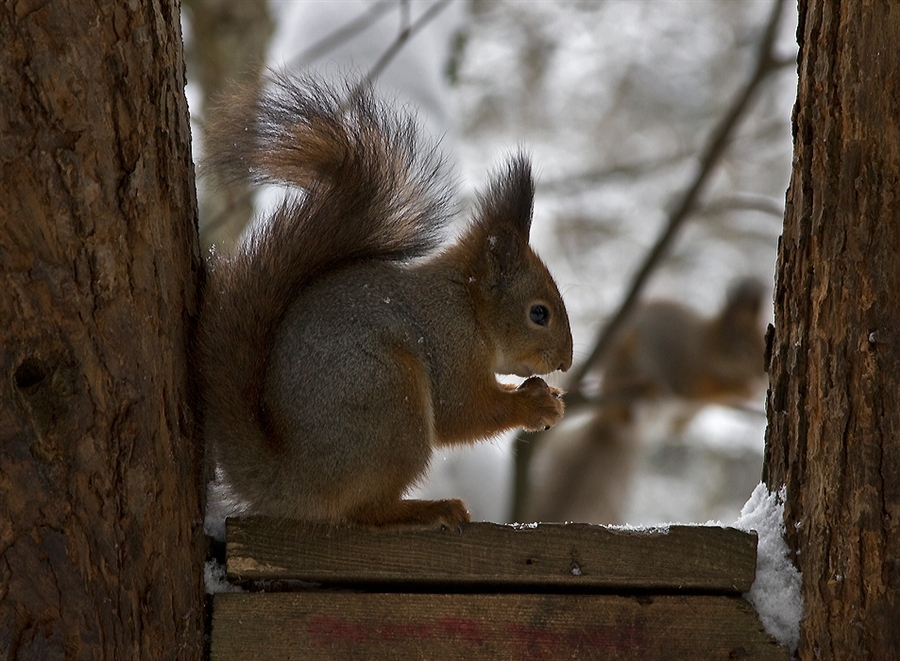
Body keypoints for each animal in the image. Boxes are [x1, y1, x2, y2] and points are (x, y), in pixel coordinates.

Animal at [199, 72, 576, 528]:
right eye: (539, 313)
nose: (566, 362)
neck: (467, 306)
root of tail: (294, 482)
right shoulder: (449, 342)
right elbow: (461, 411)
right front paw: (535, 404)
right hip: (392, 404)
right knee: (366, 510)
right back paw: (431, 509)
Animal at [528, 280, 768, 524]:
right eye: (745, 347)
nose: (762, 375)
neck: (708, 345)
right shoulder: (686, 367)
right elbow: (703, 388)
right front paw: (742, 388)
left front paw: (748, 392)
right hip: (624, 364)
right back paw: (642, 392)